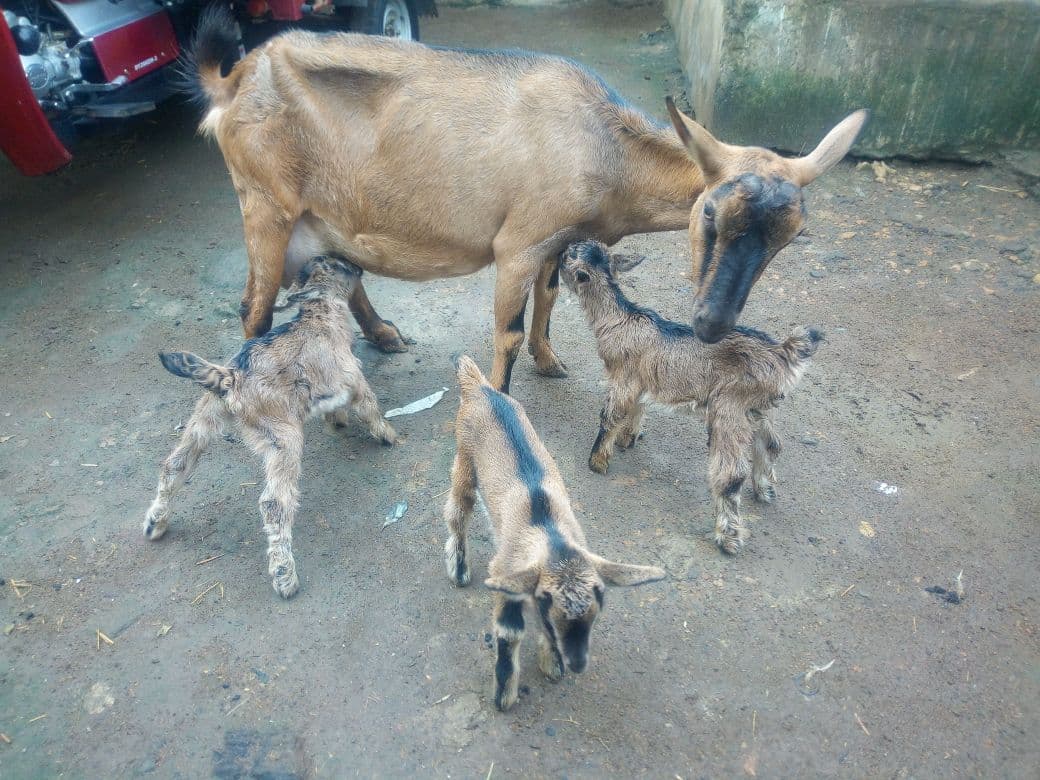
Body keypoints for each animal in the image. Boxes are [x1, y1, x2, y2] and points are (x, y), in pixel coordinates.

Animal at [143, 256, 397, 598]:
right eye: (337, 265)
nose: (358, 267)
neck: (318, 312)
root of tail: (230, 377)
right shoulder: (353, 376)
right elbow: (370, 407)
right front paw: (388, 436)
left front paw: (337, 421)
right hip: (282, 435)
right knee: (274, 503)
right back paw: (284, 575)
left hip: (205, 416)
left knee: (175, 464)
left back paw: (155, 522)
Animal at [187, 6, 867, 392]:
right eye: (709, 212)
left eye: (790, 237)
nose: (711, 324)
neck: (603, 147)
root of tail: (235, 78)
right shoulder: (518, 242)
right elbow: (507, 330)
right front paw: (502, 394)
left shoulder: (555, 239)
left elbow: (549, 299)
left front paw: (549, 361)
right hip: (265, 205)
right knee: (253, 308)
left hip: (325, 216)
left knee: (341, 269)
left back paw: (384, 335)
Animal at [443, 355, 665, 711]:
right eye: (549, 611)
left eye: (595, 616)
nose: (577, 663)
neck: (550, 537)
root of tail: (481, 388)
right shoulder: (507, 573)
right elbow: (509, 632)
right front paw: (504, 696)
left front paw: (551, 663)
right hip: (464, 456)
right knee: (457, 510)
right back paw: (459, 567)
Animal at [560, 241, 822, 554]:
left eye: (569, 256)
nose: (559, 251)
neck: (619, 319)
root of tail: (784, 351)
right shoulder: (641, 379)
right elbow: (637, 408)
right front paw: (628, 439)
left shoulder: (622, 378)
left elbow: (611, 415)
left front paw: (597, 462)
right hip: (756, 407)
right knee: (771, 444)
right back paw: (765, 490)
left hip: (729, 405)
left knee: (730, 474)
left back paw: (728, 537)